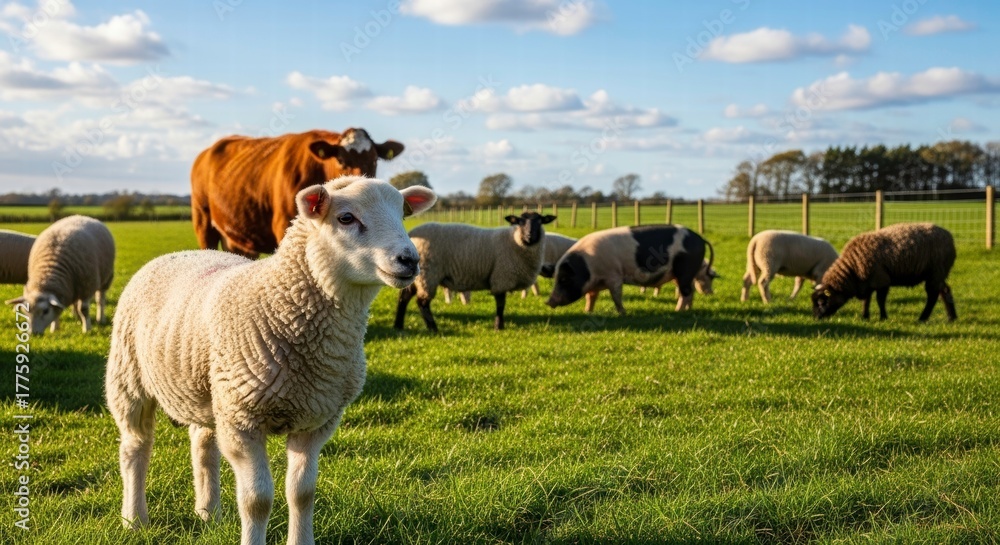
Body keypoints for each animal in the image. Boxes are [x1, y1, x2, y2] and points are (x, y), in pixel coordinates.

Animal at [104, 177, 436, 545]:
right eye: (346, 218)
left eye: (402, 214)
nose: (410, 259)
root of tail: (178, 253)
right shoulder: (243, 422)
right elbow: (257, 500)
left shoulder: (315, 421)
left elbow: (302, 493)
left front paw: (301, 540)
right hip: (128, 378)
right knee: (135, 447)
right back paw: (134, 519)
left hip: (209, 390)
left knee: (202, 444)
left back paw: (209, 513)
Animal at [394, 211, 556, 331]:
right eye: (520, 222)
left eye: (540, 222)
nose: (529, 236)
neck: (515, 241)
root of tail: (412, 234)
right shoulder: (501, 277)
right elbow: (501, 304)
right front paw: (499, 327)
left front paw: (499, 326)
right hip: (428, 274)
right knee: (422, 302)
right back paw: (433, 328)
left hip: (417, 276)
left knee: (404, 297)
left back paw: (399, 325)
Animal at [812, 222, 957, 322]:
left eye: (822, 301)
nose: (816, 318)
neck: (852, 269)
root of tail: (949, 237)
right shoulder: (867, 283)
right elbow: (866, 300)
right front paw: (865, 317)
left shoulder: (881, 280)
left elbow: (879, 300)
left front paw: (883, 317)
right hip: (939, 273)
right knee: (945, 291)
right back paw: (951, 317)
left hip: (935, 272)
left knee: (932, 295)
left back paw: (923, 318)